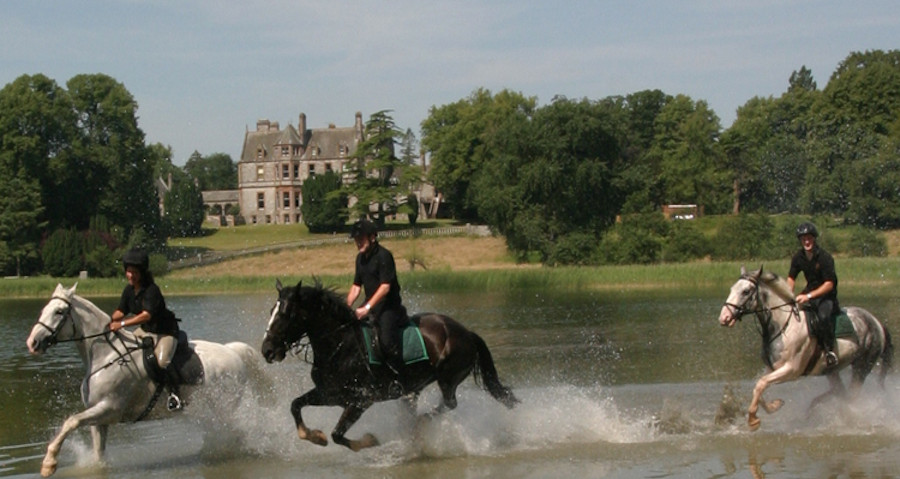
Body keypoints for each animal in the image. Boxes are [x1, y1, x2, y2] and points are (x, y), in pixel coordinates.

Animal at [24, 284, 264, 478]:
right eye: (44, 310)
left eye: (59, 311)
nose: (32, 343)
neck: (106, 356)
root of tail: (232, 351)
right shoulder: (99, 418)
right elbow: (98, 453)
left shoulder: (110, 409)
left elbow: (70, 422)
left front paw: (49, 464)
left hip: (225, 406)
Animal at [260, 280, 516, 452]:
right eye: (271, 311)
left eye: (287, 314)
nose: (267, 351)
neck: (341, 346)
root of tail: (467, 333)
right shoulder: (329, 394)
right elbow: (296, 405)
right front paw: (314, 436)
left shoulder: (361, 401)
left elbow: (338, 435)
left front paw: (370, 441)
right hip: (415, 386)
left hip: (448, 377)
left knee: (449, 402)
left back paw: (420, 423)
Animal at [716, 266, 892, 432]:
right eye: (732, 289)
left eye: (745, 291)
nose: (724, 318)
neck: (783, 326)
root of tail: (876, 322)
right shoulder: (772, 368)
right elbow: (759, 386)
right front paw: (775, 406)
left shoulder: (791, 370)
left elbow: (761, 384)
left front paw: (753, 420)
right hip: (831, 370)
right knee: (841, 392)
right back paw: (814, 409)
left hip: (862, 366)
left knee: (851, 396)